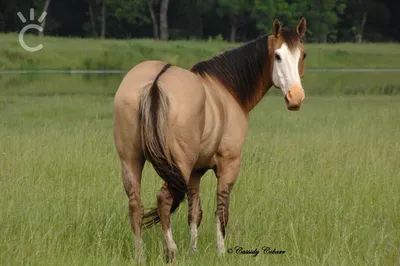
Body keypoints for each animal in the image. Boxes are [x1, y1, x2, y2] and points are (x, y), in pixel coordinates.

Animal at [114, 17, 308, 262]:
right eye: (277, 56)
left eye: (303, 55)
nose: (295, 97)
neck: (225, 89)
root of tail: (155, 83)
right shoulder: (228, 165)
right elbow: (221, 211)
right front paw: (221, 252)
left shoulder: (195, 173)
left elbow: (195, 213)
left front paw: (193, 251)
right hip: (179, 164)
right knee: (164, 200)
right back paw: (171, 250)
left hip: (131, 160)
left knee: (135, 205)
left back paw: (140, 255)